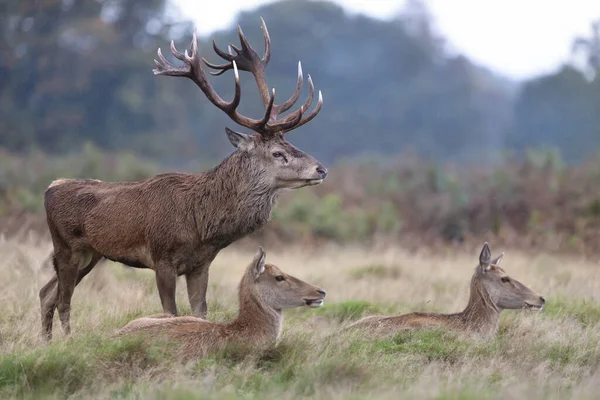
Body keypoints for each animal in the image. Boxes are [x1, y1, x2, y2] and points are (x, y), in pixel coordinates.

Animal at [41, 18, 328, 338]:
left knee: (47, 293)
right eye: (278, 153)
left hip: (91, 254)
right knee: (63, 300)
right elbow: (171, 312)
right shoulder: (161, 258)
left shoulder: (201, 264)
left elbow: (200, 312)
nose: (321, 169)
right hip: (66, 246)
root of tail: (51, 186)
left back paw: (46, 341)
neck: (201, 223)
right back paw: (65, 340)